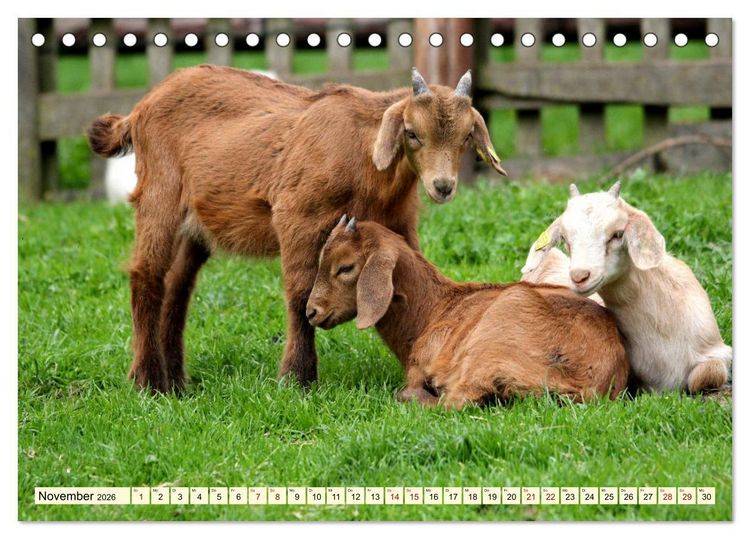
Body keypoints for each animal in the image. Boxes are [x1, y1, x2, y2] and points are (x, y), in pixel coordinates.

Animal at [87, 65, 507, 392]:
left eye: (466, 137)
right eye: (412, 132)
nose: (442, 186)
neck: (365, 160)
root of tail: (139, 109)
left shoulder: (398, 223)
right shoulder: (296, 216)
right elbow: (300, 294)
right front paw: (297, 378)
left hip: (196, 225)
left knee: (177, 286)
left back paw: (176, 381)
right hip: (160, 194)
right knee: (146, 275)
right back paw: (148, 382)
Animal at [306, 216, 629, 409]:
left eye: (345, 267)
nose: (311, 312)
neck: (434, 309)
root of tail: (586, 384)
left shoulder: (421, 365)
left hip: (489, 345)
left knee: (455, 401)